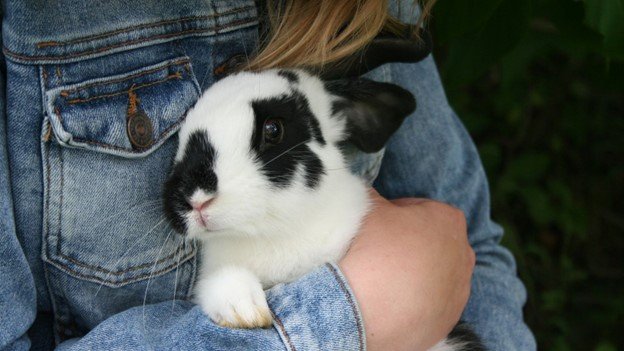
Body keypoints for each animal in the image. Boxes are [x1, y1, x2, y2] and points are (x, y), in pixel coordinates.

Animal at [163, 69, 486, 351]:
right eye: (181, 139)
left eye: (273, 129)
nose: (195, 199)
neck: (274, 232)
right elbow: (221, 282)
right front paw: (244, 310)